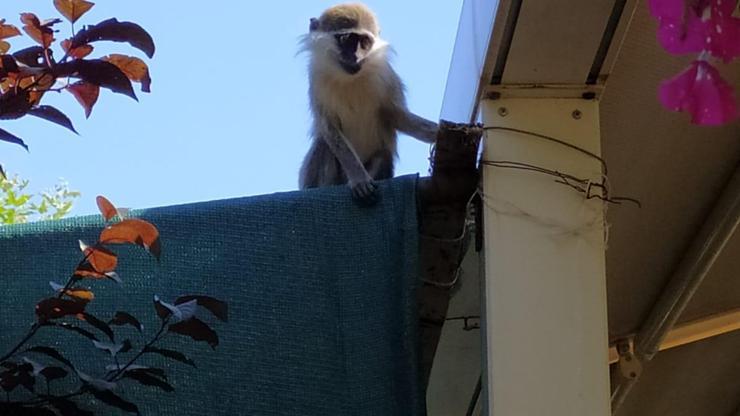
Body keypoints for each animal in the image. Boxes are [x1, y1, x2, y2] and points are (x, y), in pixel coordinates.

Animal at [300, 2, 440, 205]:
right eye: (346, 39)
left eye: (364, 42)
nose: (355, 57)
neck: (349, 79)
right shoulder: (316, 80)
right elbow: (329, 129)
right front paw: (359, 179)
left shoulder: (386, 77)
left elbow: (398, 117)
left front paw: (438, 133)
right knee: (325, 146)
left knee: (383, 155)